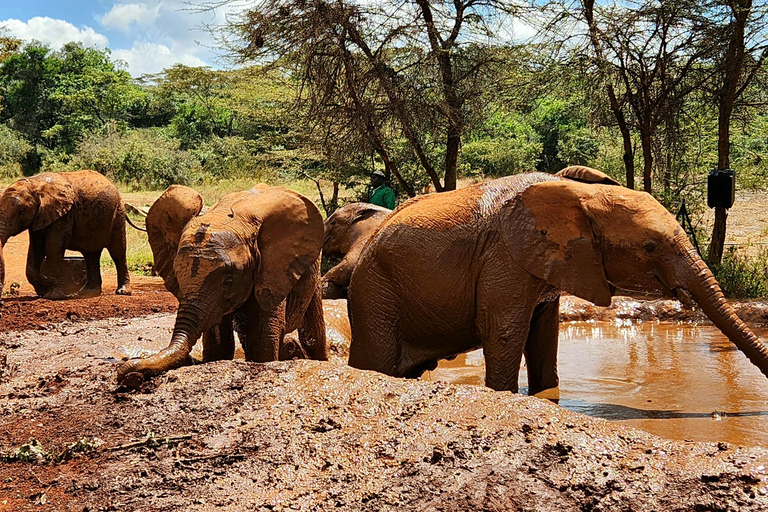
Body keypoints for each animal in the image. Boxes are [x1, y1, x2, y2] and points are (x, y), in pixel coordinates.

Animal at [0, 172, 131, 300]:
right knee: (91, 255)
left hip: (118, 214)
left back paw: (123, 291)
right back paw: (86, 293)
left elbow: (54, 246)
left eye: (21, 211)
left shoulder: (63, 214)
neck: (35, 184)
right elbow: (37, 247)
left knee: (117, 253)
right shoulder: (39, 218)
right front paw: (43, 290)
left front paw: (53, 295)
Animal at [117, 182, 328, 386]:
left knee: (312, 334)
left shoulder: (272, 271)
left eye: (228, 280)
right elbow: (219, 346)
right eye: (177, 276)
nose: (127, 375)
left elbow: (263, 340)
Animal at [348, 166, 768, 394]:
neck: (581, 194)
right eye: (650, 247)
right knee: (376, 360)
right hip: (376, 291)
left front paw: (545, 394)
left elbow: (544, 335)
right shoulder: (505, 257)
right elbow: (505, 332)